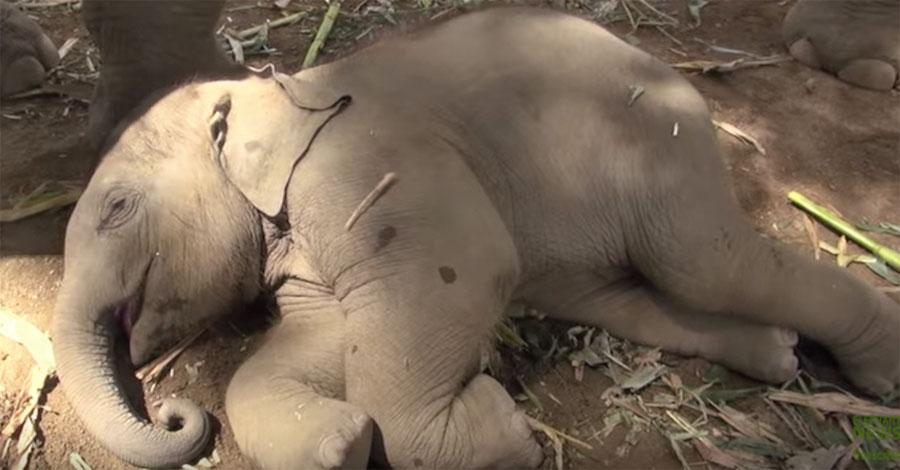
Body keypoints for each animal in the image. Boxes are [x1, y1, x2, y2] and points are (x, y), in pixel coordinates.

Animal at [51, 4, 900, 470]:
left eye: (117, 207)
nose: (172, 412)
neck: (280, 90)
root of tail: (670, 68)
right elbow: (321, 342)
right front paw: (340, 442)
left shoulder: (366, 165)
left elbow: (457, 276)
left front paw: (505, 429)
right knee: (628, 295)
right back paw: (779, 354)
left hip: (658, 143)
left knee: (703, 261)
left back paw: (877, 373)